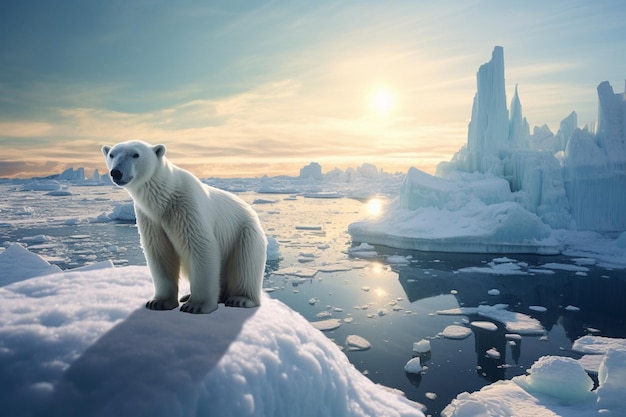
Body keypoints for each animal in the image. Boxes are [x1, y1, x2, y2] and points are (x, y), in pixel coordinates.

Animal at [100, 140, 266, 312]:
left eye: (135, 154)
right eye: (112, 154)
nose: (116, 172)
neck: (165, 197)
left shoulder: (186, 207)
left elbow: (200, 247)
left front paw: (196, 306)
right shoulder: (150, 218)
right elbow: (160, 252)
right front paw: (158, 302)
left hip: (245, 233)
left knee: (245, 264)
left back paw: (240, 299)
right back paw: (190, 295)